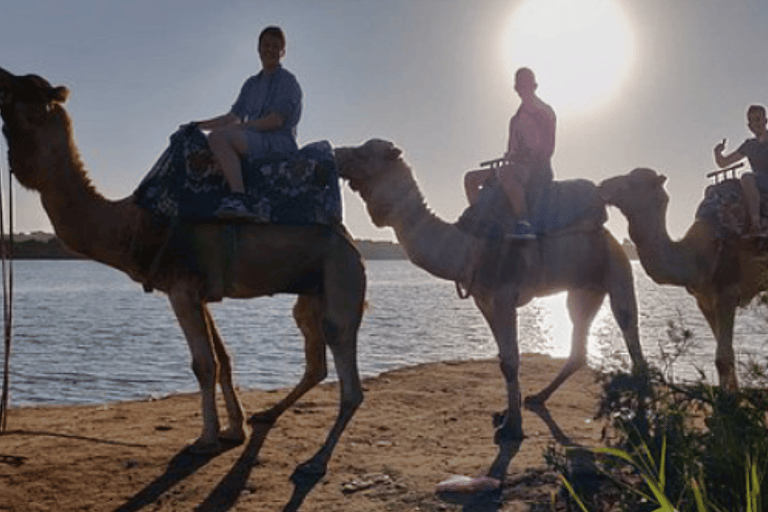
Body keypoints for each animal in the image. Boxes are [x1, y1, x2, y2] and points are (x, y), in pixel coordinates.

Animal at [0, 67, 365, 506]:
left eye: (23, 86)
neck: (135, 225)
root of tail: (351, 241)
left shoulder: (182, 291)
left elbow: (203, 364)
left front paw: (204, 439)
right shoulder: (199, 292)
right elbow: (223, 358)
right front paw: (234, 429)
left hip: (341, 277)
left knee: (349, 379)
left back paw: (315, 461)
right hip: (312, 291)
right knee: (315, 361)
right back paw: (268, 414)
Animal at [334, 139, 647, 481]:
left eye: (366, 151)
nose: (336, 153)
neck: (466, 246)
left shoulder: (504, 295)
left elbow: (511, 361)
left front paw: (512, 429)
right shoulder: (484, 300)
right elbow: (502, 359)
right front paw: (506, 414)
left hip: (617, 267)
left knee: (630, 329)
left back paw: (641, 418)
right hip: (583, 289)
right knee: (579, 346)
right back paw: (537, 397)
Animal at [600, 167, 768, 392]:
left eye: (633, 182)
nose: (603, 186)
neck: (699, 254)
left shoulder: (727, 291)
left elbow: (722, 358)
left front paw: (729, 398)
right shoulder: (703, 299)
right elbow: (724, 352)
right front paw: (733, 391)